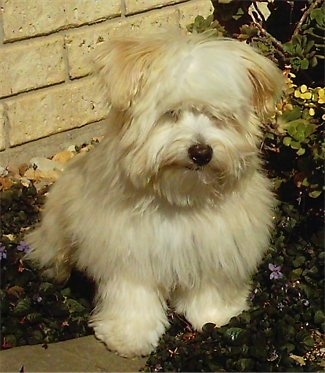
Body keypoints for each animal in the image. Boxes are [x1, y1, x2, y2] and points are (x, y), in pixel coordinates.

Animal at [26, 30, 282, 356]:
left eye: (218, 116)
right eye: (171, 114)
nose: (201, 152)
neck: (179, 199)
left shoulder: (215, 245)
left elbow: (211, 284)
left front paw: (214, 314)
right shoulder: (128, 251)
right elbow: (133, 295)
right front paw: (129, 335)